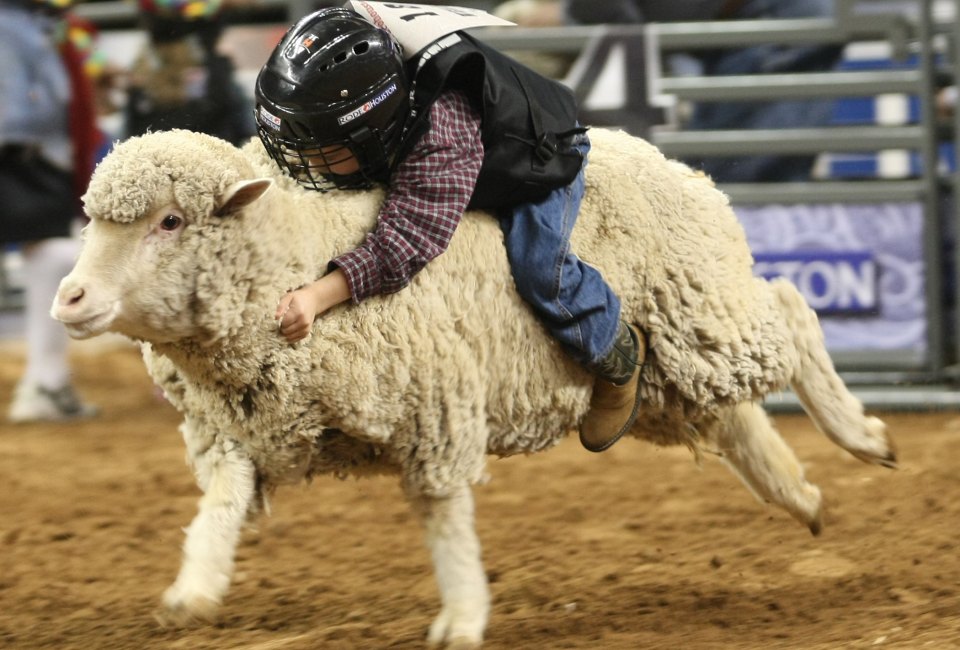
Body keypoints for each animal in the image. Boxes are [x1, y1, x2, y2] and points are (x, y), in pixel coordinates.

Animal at [50, 128, 892, 648]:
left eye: (168, 222)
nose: (69, 299)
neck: (295, 258)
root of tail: (676, 163)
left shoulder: (434, 407)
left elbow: (445, 523)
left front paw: (461, 617)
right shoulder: (238, 434)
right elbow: (217, 515)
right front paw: (191, 593)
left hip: (701, 312)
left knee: (791, 312)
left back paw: (863, 436)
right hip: (665, 375)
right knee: (736, 420)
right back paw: (801, 496)